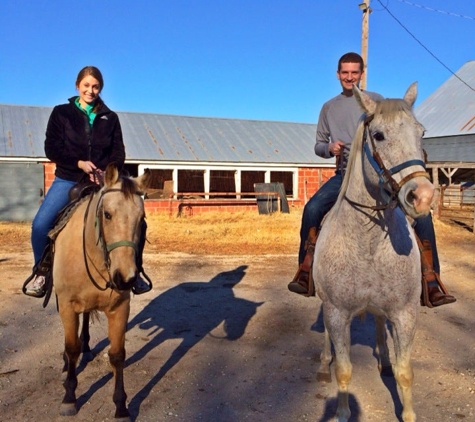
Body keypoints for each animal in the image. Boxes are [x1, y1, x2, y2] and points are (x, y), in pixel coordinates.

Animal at [52, 163, 150, 420]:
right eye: (107, 214)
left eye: (142, 219)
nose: (125, 278)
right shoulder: (67, 306)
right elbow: (71, 348)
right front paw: (69, 397)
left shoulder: (120, 308)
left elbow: (116, 355)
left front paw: (121, 406)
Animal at [314, 83, 436, 422]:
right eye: (379, 135)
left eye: (421, 132)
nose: (422, 197)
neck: (367, 244)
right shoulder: (337, 313)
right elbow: (343, 370)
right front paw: (343, 411)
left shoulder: (405, 313)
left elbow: (405, 372)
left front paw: (408, 413)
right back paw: (323, 362)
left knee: (381, 325)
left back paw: (383, 359)